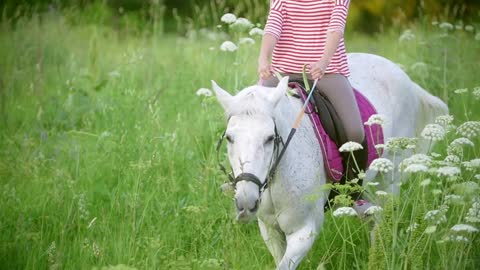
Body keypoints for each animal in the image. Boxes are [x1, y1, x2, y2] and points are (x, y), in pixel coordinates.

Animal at [212, 53, 448, 270]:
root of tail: (404, 77)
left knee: (381, 223)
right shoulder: (270, 230)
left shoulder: (304, 232)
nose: (246, 202)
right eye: (230, 138)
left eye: (269, 138)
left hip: (389, 179)